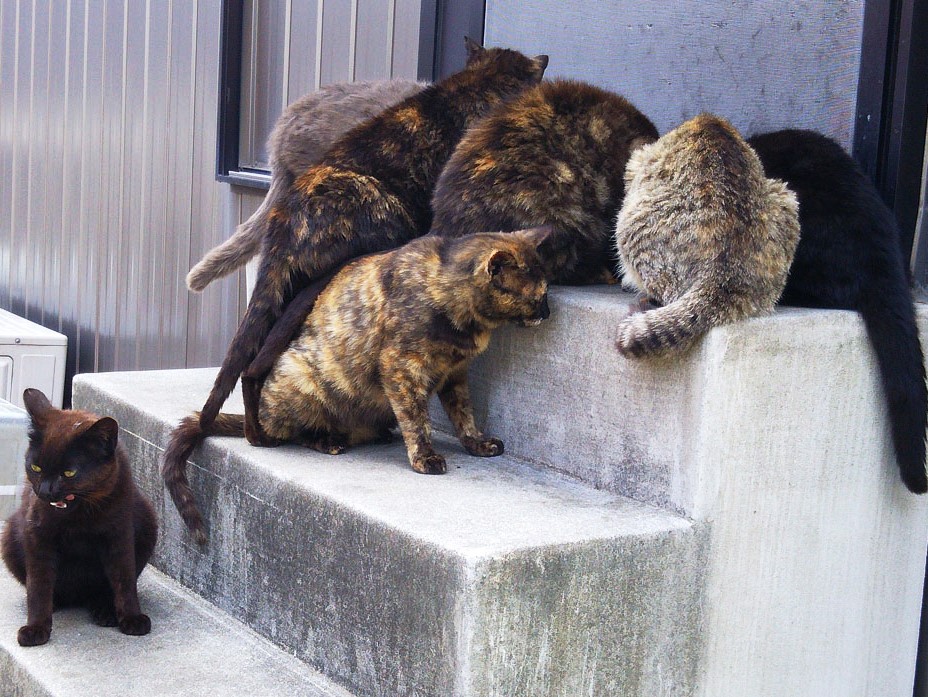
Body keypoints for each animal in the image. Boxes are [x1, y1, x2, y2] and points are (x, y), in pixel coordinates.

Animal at [163, 230, 552, 544]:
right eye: (539, 296)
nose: (548, 313)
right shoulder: (401, 367)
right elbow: (417, 419)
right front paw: (424, 457)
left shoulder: (455, 374)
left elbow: (463, 415)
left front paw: (477, 443)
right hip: (300, 378)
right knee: (284, 431)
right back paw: (327, 440)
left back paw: (376, 434)